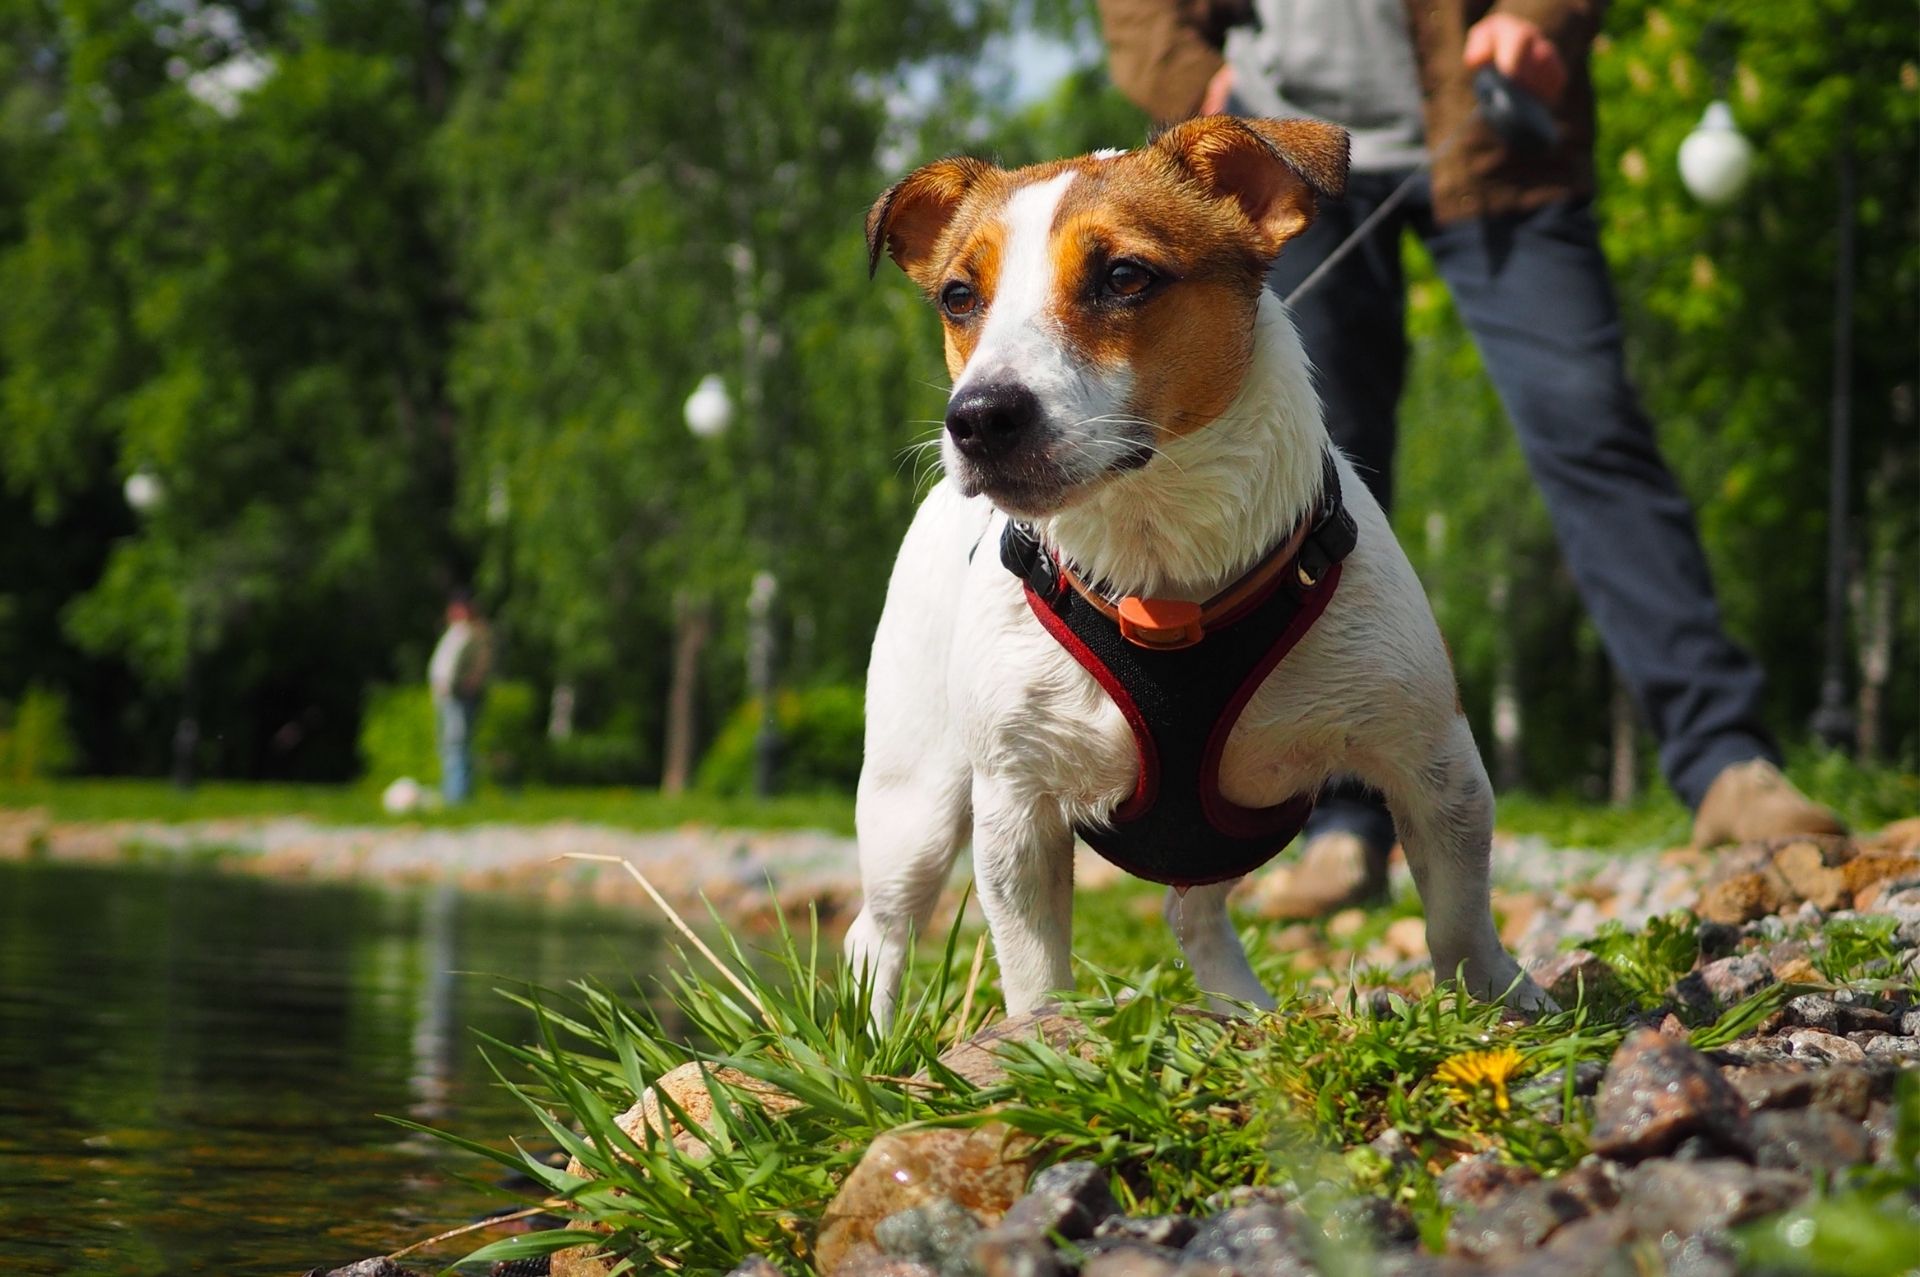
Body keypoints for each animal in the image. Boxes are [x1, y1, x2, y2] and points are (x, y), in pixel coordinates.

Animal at [848, 119, 1551, 1029]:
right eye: (959, 296)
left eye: (1124, 277)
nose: (976, 416)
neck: (1160, 568)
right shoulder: (1017, 806)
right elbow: (1034, 969)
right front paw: (1043, 1039)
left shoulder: (1432, 758)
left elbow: (1460, 910)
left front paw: (1498, 995)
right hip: (915, 803)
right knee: (880, 932)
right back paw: (873, 1042)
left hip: (1224, 824)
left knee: (1193, 912)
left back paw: (1244, 1006)